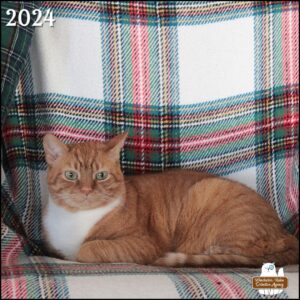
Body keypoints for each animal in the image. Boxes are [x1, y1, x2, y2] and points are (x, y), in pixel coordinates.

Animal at [41, 132, 298, 266]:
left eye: (100, 176)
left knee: (247, 256)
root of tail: (284, 232)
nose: (86, 190)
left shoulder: (144, 243)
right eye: (71, 175)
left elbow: (87, 249)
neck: (75, 217)